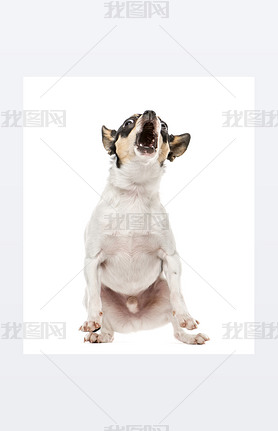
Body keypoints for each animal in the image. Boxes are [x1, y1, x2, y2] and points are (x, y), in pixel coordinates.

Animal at [80, 110, 208, 344]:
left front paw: (186, 316)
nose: (151, 112)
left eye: (164, 126)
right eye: (128, 122)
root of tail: (135, 319)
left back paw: (189, 337)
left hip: (164, 288)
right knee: (107, 325)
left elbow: (178, 293)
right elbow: (94, 295)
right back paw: (100, 335)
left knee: (176, 327)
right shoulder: (92, 261)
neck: (135, 191)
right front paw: (91, 320)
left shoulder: (171, 258)